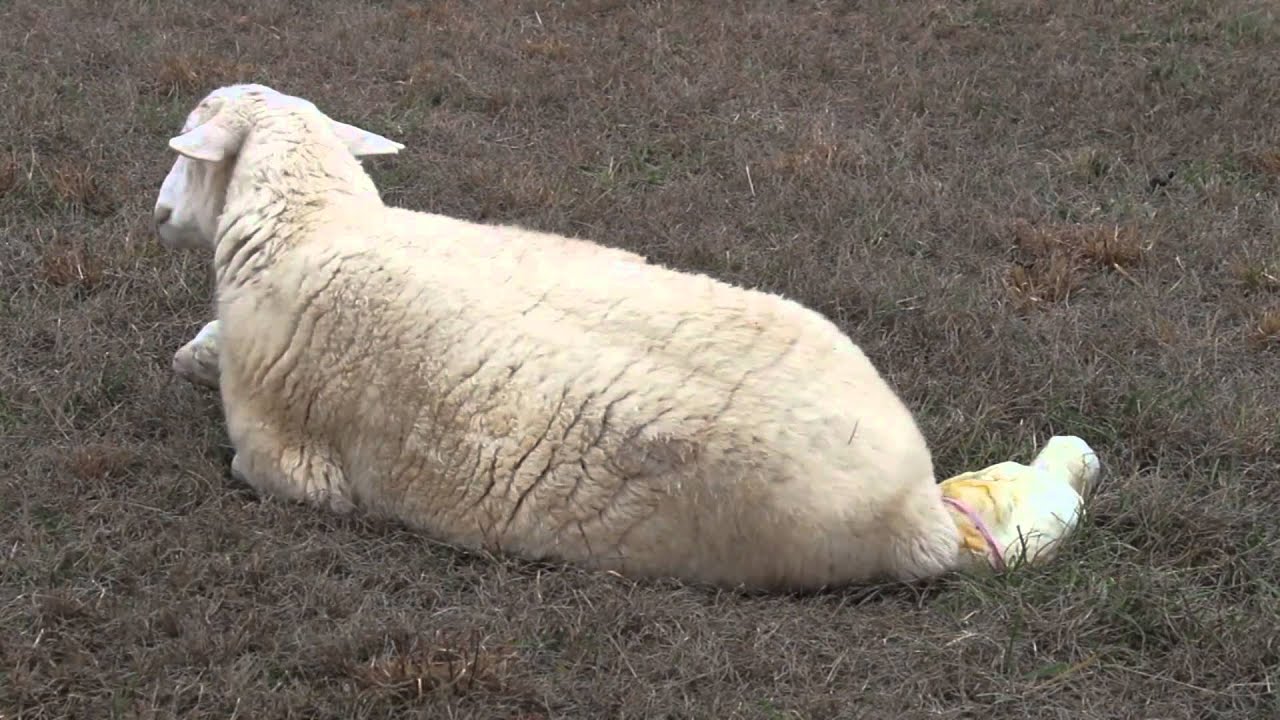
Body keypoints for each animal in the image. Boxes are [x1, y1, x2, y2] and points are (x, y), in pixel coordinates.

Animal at [152, 83, 1102, 592]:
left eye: (189, 149)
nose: (160, 214)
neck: (313, 224)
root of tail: (916, 512)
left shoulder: (284, 460)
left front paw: (194, 356)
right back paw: (1072, 458)